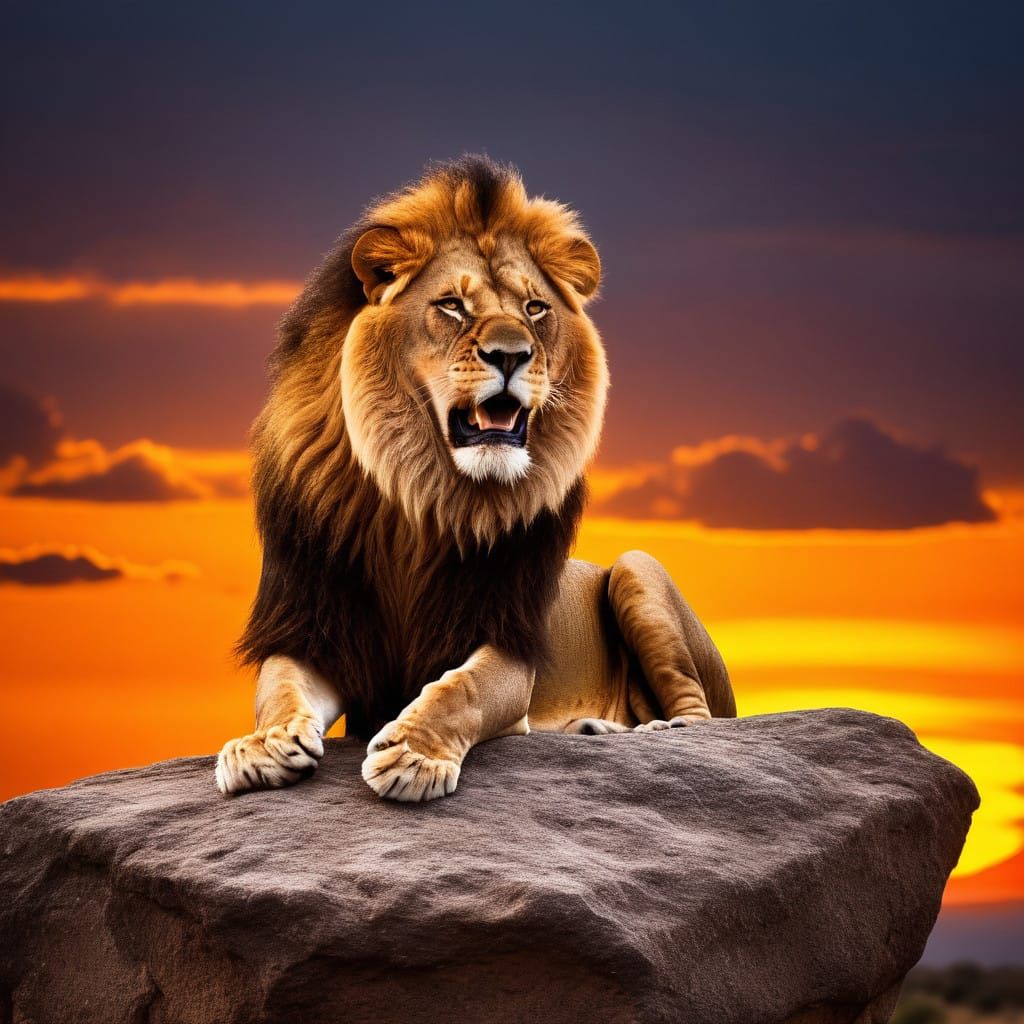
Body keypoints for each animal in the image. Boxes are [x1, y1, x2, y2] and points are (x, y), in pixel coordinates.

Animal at [215, 155, 736, 802]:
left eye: (535, 309)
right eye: (452, 306)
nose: (510, 354)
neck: (418, 498)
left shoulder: (506, 637)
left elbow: (459, 689)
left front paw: (413, 754)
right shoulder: (317, 620)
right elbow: (279, 687)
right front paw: (260, 746)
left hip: (637, 571)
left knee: (701, 716)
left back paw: (647, 729)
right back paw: (594, 727)